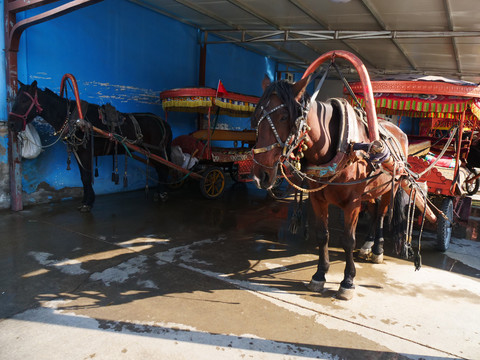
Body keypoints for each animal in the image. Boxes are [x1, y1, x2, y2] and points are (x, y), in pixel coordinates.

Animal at [8, 80, 172, 212]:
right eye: (15, 99)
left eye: (24, 100)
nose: (11, 124)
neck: (74, 119)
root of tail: (162, 121)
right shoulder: (78, 152)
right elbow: (83, 177)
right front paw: (86, 200)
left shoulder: (85, 152)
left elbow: (87, 177)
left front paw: (88, 203)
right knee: (161, 168)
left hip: (156, 150)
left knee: (163, 168)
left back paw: (162, 193)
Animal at [251, 77, 408, 300]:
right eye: (255, 117)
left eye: (283, 117)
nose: (260, 175)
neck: (339, 143)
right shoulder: (318, 199)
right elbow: (322, 235)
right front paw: (319, 275)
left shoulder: (352, 204)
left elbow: (348, 240)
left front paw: (348, 281)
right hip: (371, 192)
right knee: (374, 210)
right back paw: (367, 245)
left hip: (390, 188)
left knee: (381, 215)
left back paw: (377, 249)